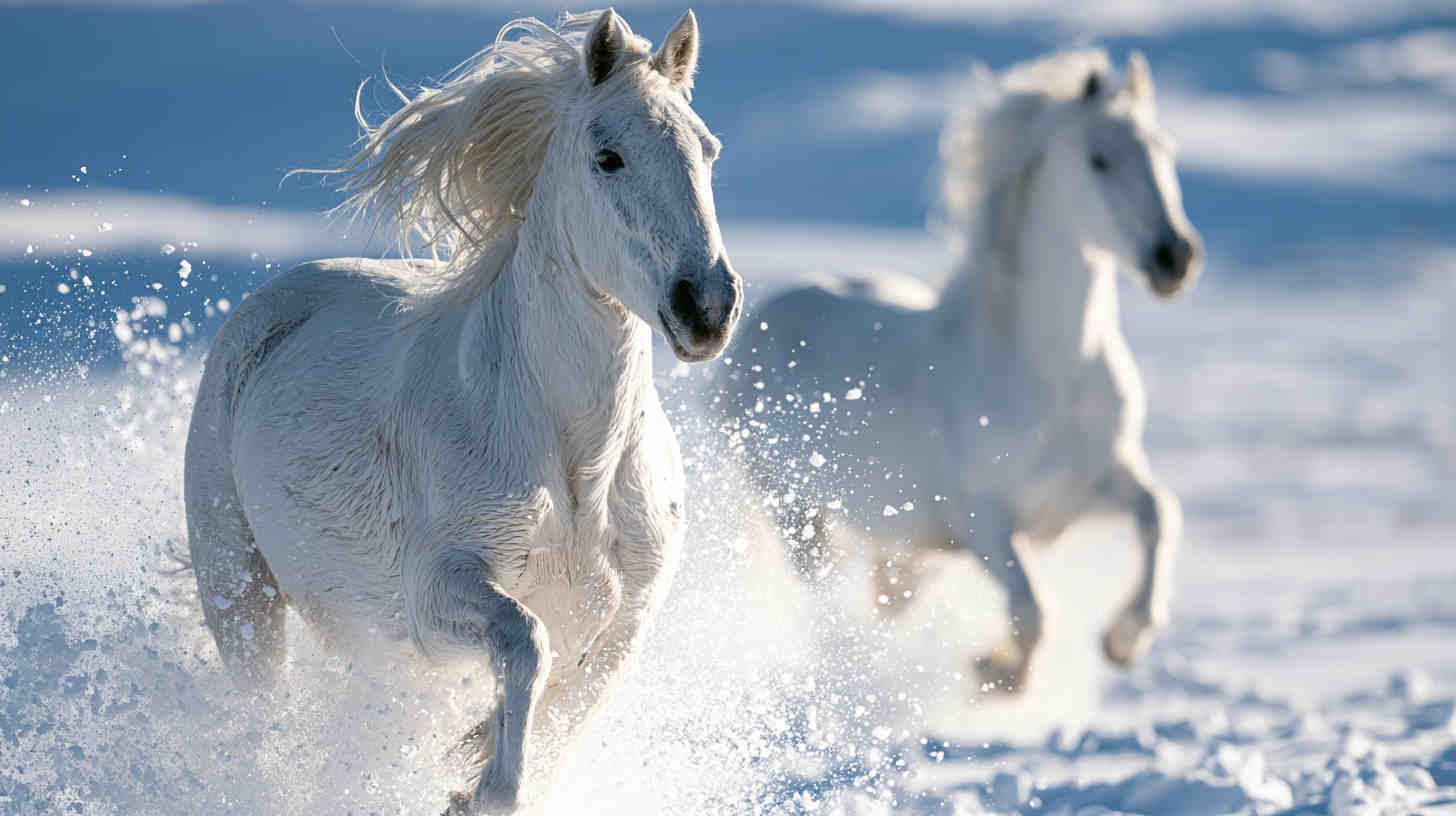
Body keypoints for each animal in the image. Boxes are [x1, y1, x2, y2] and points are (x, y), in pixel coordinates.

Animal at [183, 10, 740, 813]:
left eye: (707, 150)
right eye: (608, 158)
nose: (708, 309)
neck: (578, 466)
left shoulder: (625, 623)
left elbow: (568, 706)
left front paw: (471, 765)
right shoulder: (437, 595)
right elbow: (526, 646)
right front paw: (482, 786)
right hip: (242, 596)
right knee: (259, 716)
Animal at [718, 50, 1200, 694]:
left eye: (1164, 149)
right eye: (1099, 158)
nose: (1175, 259)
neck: (1050, 372)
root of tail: (755, 327)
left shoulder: (1093, 486)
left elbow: (1158, 515)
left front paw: (1122, 641)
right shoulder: (984, 522)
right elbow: (1031, 608)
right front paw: (996, 673)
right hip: (797, 515)